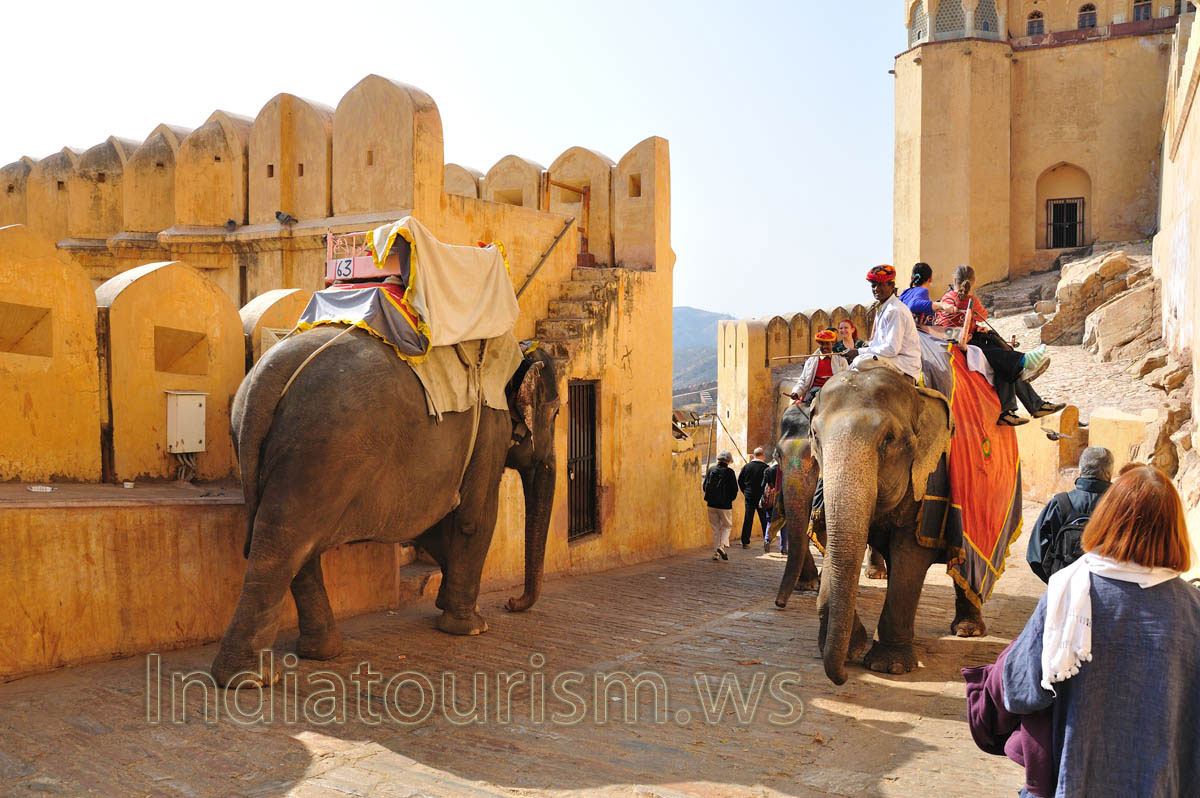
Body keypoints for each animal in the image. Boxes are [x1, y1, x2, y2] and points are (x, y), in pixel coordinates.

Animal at [210, 326, 558, 686]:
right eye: (556, 414)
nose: (512, 603)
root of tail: (266, 377)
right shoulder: (490, 426)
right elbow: (473, 520)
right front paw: (472, 627)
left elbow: (435, 525)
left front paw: (445, 602)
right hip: (323, 446)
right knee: (284, 543)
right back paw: (250, 678)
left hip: (275, 445)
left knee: (294, 541)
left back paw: (320, 653)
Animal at [801, 364, 985, 685]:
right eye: (815, 436)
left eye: (889, 439)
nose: (842, 678)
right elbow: (837, 544)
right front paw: (852, 648)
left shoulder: (931, 482)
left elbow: (910, 554)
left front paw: (890, 667)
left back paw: (968, 630)